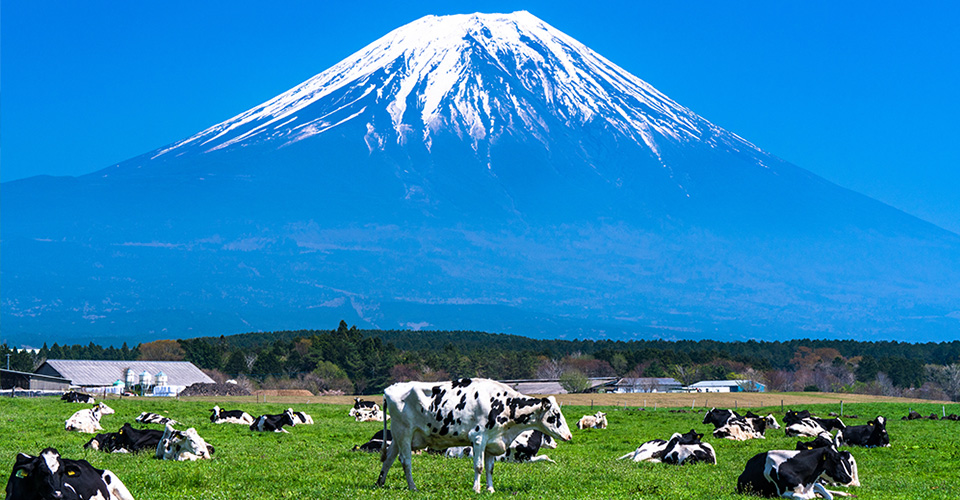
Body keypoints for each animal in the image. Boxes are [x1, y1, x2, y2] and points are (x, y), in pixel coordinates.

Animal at [374, 378, 568, 492]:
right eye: (555, 414)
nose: (569, 436)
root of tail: (390, 388)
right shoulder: (479, 438)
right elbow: (479, 466)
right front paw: (477, 489)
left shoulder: (492, 441)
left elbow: (490, 468)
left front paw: (490, 490)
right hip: (404, 433)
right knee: (405, 461)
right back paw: (413, 487)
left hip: (398, 436)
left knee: (389, 458)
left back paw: (380, 483)